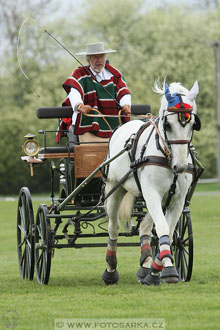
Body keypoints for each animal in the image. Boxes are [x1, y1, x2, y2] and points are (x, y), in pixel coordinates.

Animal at [102, 80, 200, 286]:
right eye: (168, 124)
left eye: (192, 124)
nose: (180, 166)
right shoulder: (152, 193)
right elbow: (162, 227)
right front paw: (168, 269)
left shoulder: (177, 200)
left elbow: (168, 232)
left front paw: (156, 270)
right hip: (115, 189)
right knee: (113, 227)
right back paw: (110, 270)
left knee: (145, 227)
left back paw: (145, 266)